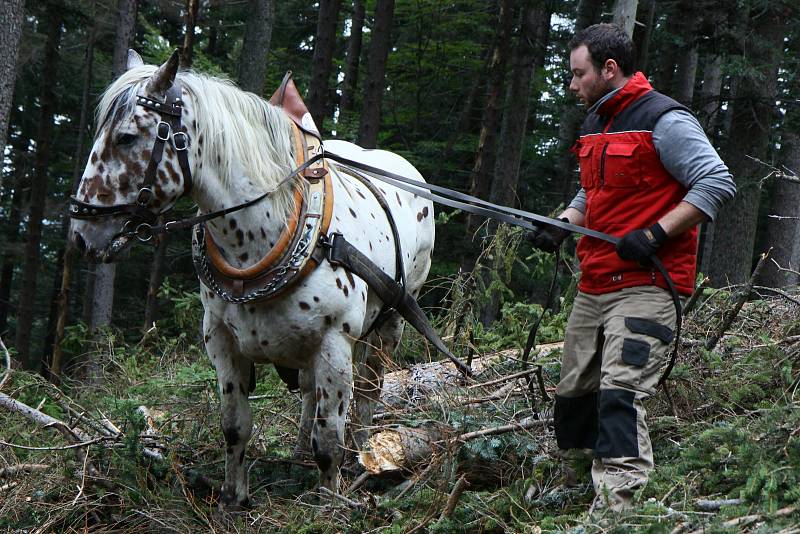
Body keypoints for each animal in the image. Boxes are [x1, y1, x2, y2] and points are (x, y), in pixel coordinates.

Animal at [69, 51, 434, 510]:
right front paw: (232, 497)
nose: (80, 234)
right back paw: (298, 453)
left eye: (127, 137)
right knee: (309, 396)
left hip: (392, 320)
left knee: (368, 393)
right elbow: (235, 426)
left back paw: (359, 456)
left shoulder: (335, 343)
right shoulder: (222, 342)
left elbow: (330, 438)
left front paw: (327, 504)